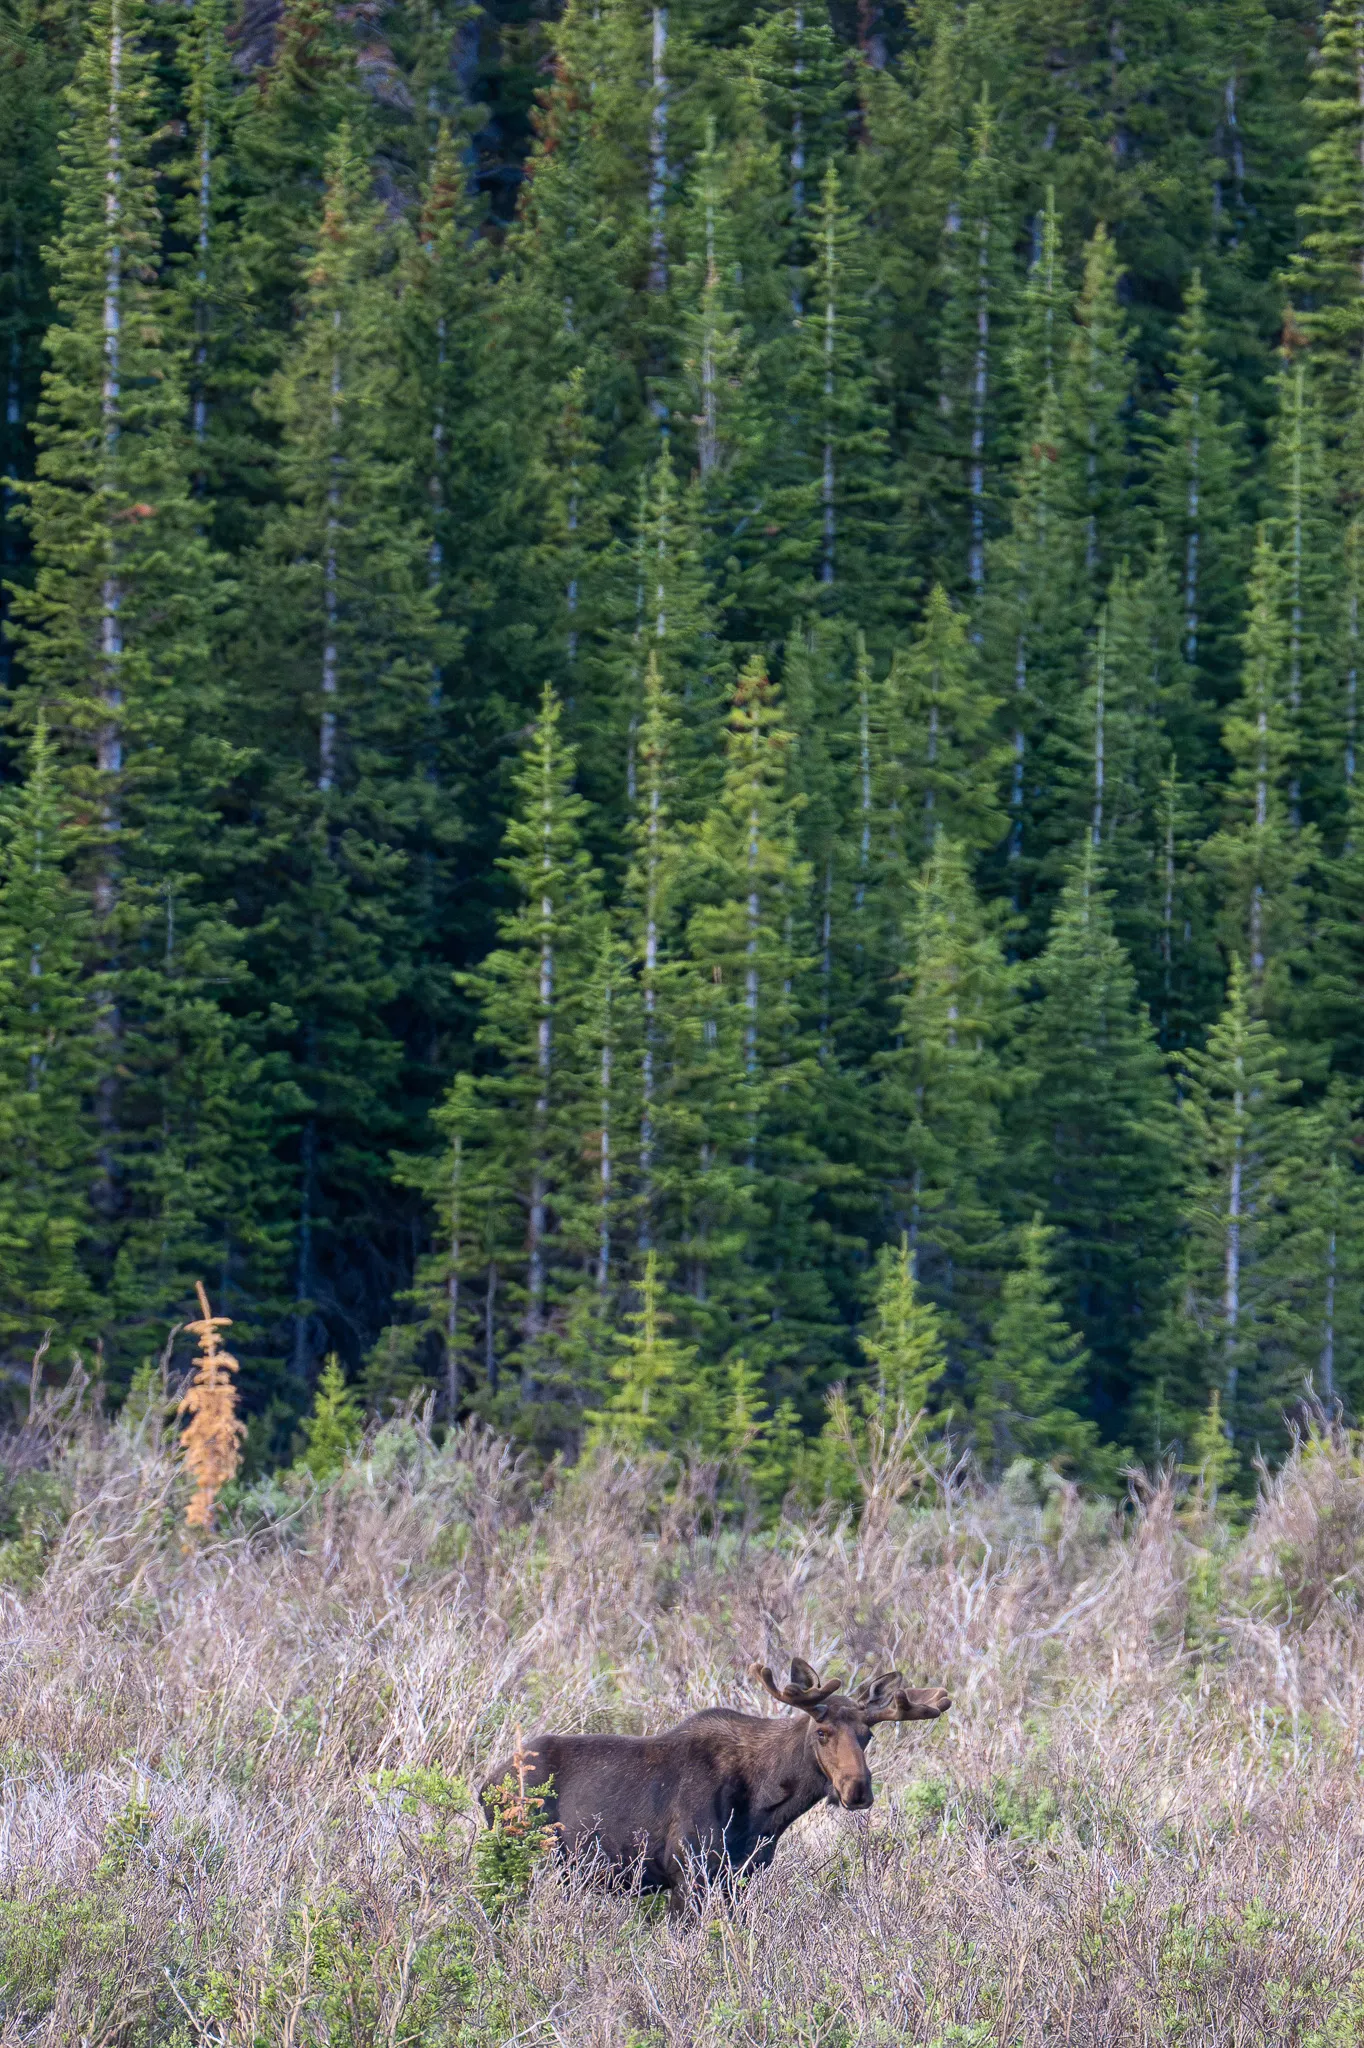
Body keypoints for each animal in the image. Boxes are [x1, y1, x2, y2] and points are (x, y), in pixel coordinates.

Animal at [478, 1655, 951, 1915]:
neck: (765, 1811)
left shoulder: (738, 1877)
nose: (857, 1791)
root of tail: (485, 1785)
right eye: (822, 1732)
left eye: (867, 1735)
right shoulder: (687, 1872)